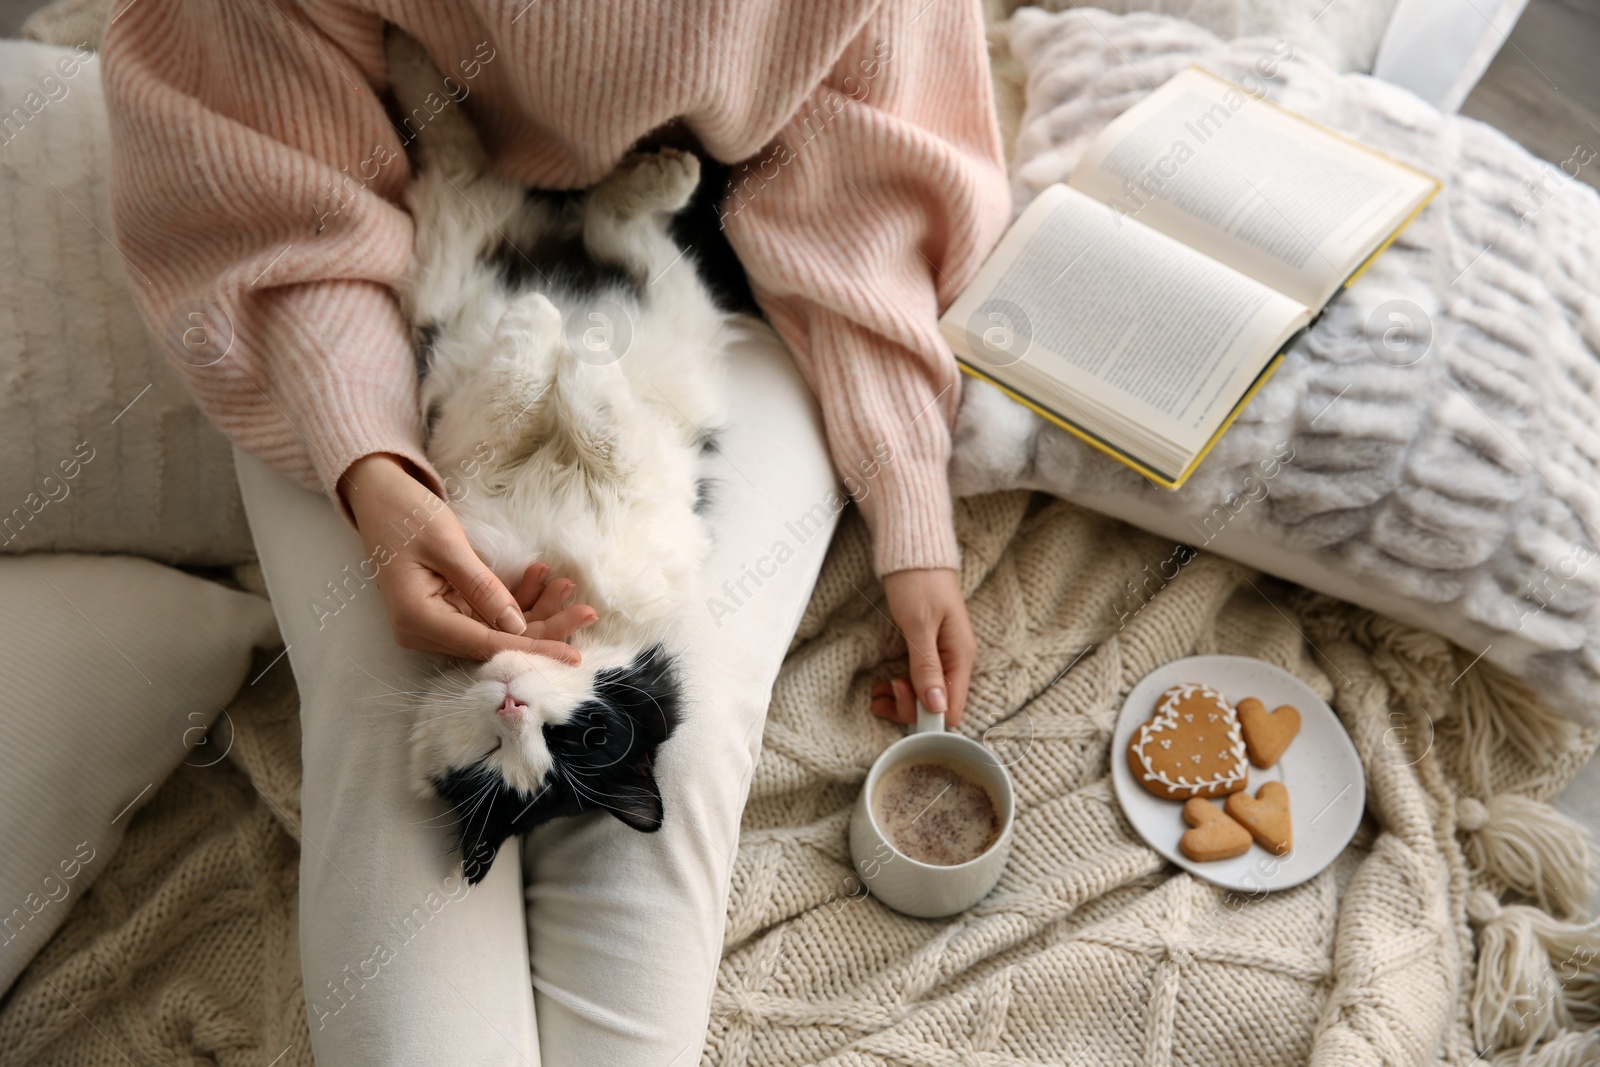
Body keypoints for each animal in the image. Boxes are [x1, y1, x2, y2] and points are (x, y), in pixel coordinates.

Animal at [390, 31, 758, 883]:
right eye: (496, 747)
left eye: (577, 740)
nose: (513, 702)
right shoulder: (465, 453)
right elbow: (538, 391)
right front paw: (553, 332)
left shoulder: (632, 473)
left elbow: (582, 403)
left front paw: (562, 336)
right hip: (449, 261)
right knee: (486, 167)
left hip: (648, 288)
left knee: (596, 216)